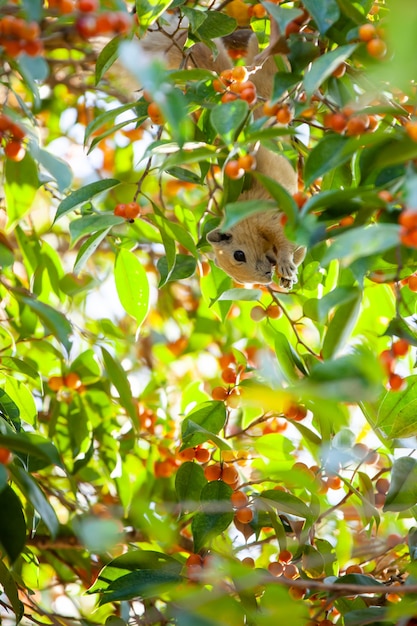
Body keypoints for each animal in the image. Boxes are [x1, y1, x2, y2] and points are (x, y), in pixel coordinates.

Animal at [138, 14, 304, 286]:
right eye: (242, 280)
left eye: (239, 254)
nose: (266, 277)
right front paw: (285, 277)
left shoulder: (269, 216)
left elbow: (287, 241)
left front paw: (286, 265)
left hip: (271, 73)